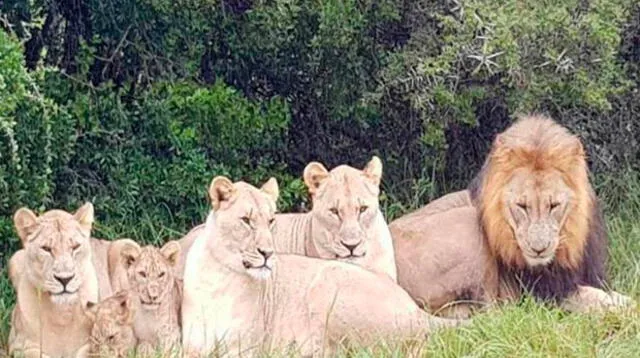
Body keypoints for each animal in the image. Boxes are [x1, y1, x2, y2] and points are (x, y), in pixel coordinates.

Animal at [180, 176, 464, 356]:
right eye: (246, 220)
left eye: (271, 221)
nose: (268, 253)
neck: (219, 277)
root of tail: (415, 309)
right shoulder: (191, 345)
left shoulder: (245, 347)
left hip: (327, 285)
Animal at [390, 114, 636, 316]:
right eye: (522, 206)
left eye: (554, 205)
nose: (539, 249)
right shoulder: (546, 293)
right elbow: (595, 298)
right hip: (468, 222)